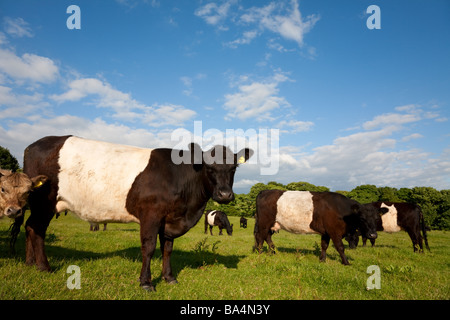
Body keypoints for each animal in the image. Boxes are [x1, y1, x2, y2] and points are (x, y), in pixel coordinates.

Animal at [253, 190, 386, 264]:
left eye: (377, 218)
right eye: (362, 218)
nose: (373, 235)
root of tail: (265, 191)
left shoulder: (326, 232)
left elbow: (324, 245)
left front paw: (322, 260)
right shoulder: (334, 231)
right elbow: (340, 247)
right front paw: (346, 262)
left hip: (272, 224)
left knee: (267, 237)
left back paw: (273, 252)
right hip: (264, 223)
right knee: (260, 237)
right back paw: (259, 253)